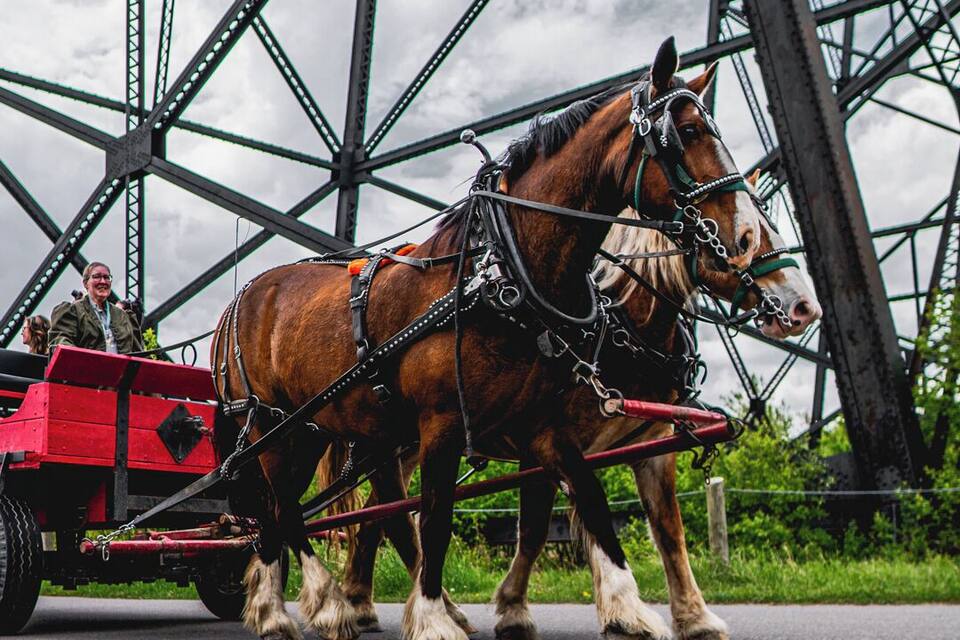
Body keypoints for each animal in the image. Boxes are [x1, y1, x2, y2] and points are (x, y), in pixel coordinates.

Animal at [212, 37, 767, 640]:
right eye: (685, 132)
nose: (745, 235)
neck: (503, 273)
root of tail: (242, 297)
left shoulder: (543, 426)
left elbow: (590, 502)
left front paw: (629, 606)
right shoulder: (443, 422)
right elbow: (437, 518)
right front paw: (433, 618)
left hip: (318, 426)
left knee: (283, 512)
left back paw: (276, 609)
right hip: (268, 422)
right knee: (290, 511)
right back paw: (323, 602)